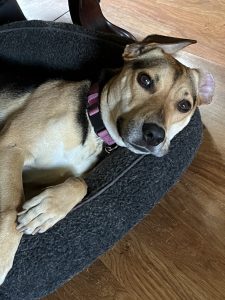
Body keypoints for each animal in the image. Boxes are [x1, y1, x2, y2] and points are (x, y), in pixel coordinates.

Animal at [0, 35, 214, 284]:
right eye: (145, 80)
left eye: (184, 106)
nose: (154, 135)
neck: (94, 128)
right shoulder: (11, 147)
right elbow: (10, 208)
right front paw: (3, 251)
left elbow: (79, 183)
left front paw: (48, 209)